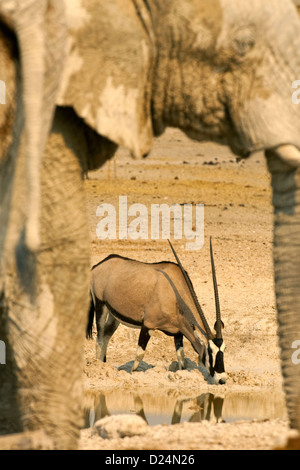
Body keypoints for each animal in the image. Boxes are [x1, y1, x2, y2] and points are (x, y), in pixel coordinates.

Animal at [1, 0, 300, 450]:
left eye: (225, 353)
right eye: (213, 354)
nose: (222, 380)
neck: (175, 291)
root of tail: (101, 264)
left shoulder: (174, 332)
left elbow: (175, 354)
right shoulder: (145, 326)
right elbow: (142, 355)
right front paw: (132, 381)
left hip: (109, 314)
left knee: (104, 339)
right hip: (102, 308)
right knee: (100, 339)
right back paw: (101, 370)